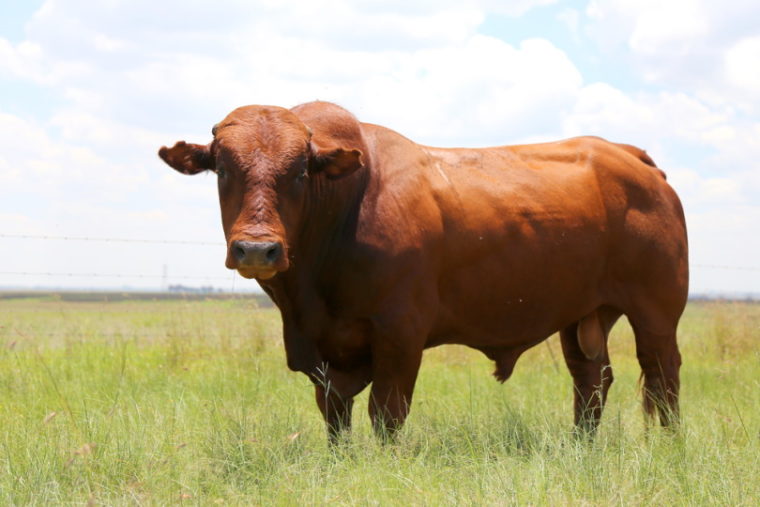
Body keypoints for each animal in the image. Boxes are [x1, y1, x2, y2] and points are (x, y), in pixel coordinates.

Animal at [159, 101, 688, 442]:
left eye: (300, 172)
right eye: (223, 170)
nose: (256, 248)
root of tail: (628, 155)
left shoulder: (400, 334)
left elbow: (387, 414)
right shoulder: (322, 354)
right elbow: (335, 416)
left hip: (657, 311)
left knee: (661, 376)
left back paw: (666, 445)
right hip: (581, 314)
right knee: (591, 378)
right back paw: (581, 446)